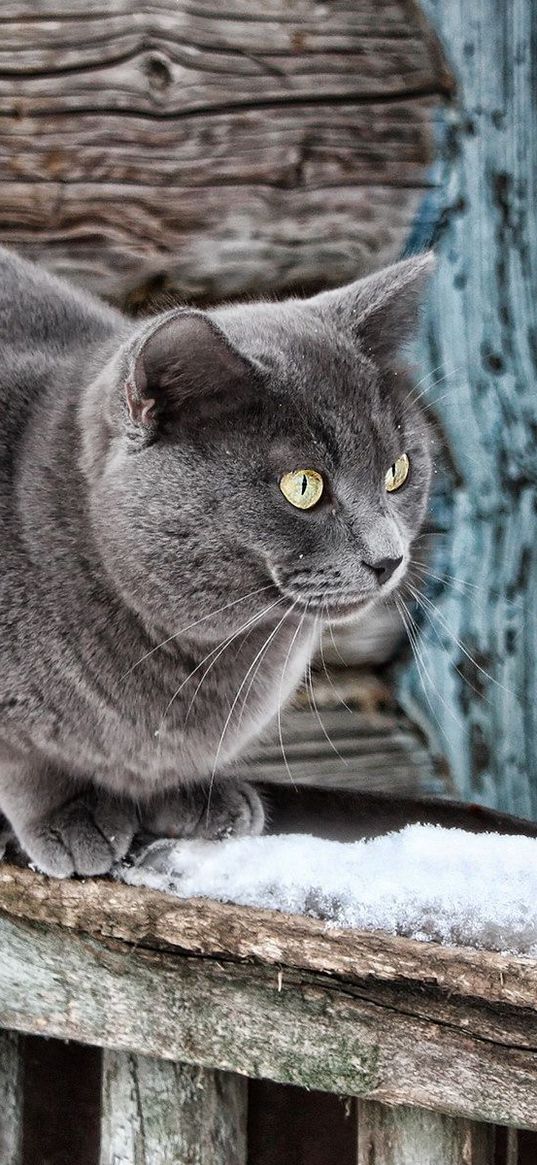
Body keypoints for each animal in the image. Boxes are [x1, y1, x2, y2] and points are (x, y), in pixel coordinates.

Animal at [0, 250, 430, 876]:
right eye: (303, 486)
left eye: (398, 472)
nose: (389, 556)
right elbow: (26, 763)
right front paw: (71, 814)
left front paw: (194, 800)